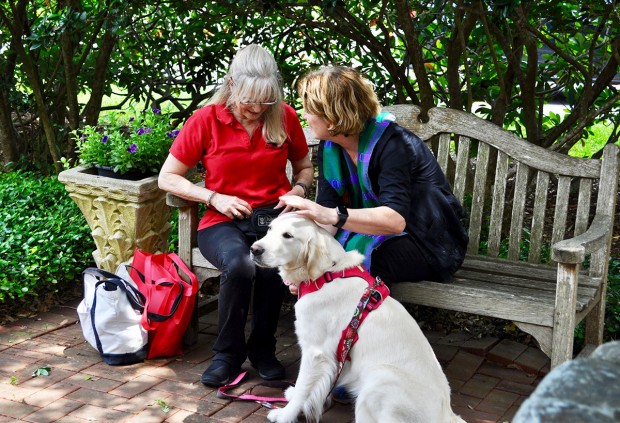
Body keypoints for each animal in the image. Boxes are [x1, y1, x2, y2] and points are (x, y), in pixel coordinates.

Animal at [249, 215, 462, 423]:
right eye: (270, 228)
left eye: (288, 235)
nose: (254, 249)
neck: (325, 276)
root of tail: (446, 414)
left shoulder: (315, 351)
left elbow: (303, 387)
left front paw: (285, 414)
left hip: (378, 380)